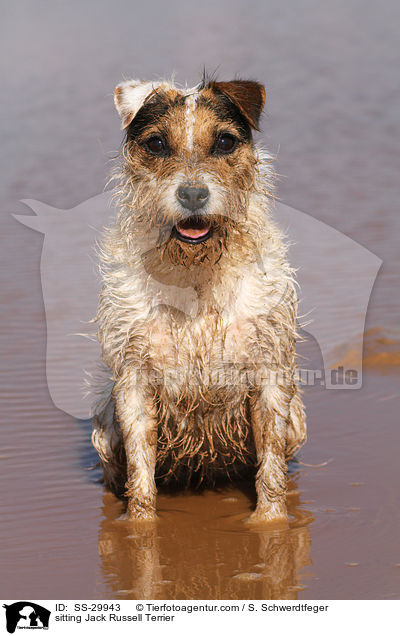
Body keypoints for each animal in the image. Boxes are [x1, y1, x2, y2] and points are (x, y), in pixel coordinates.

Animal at [91, 76, 306, 520]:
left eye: (224, 142)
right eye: (157, 144)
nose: (192, 195)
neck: (194, 273)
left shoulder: (270, 372)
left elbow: (271, 463)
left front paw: (270, 523)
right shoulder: (134, 379)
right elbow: (140, 468)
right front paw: (139, 525)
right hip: (104, 427)